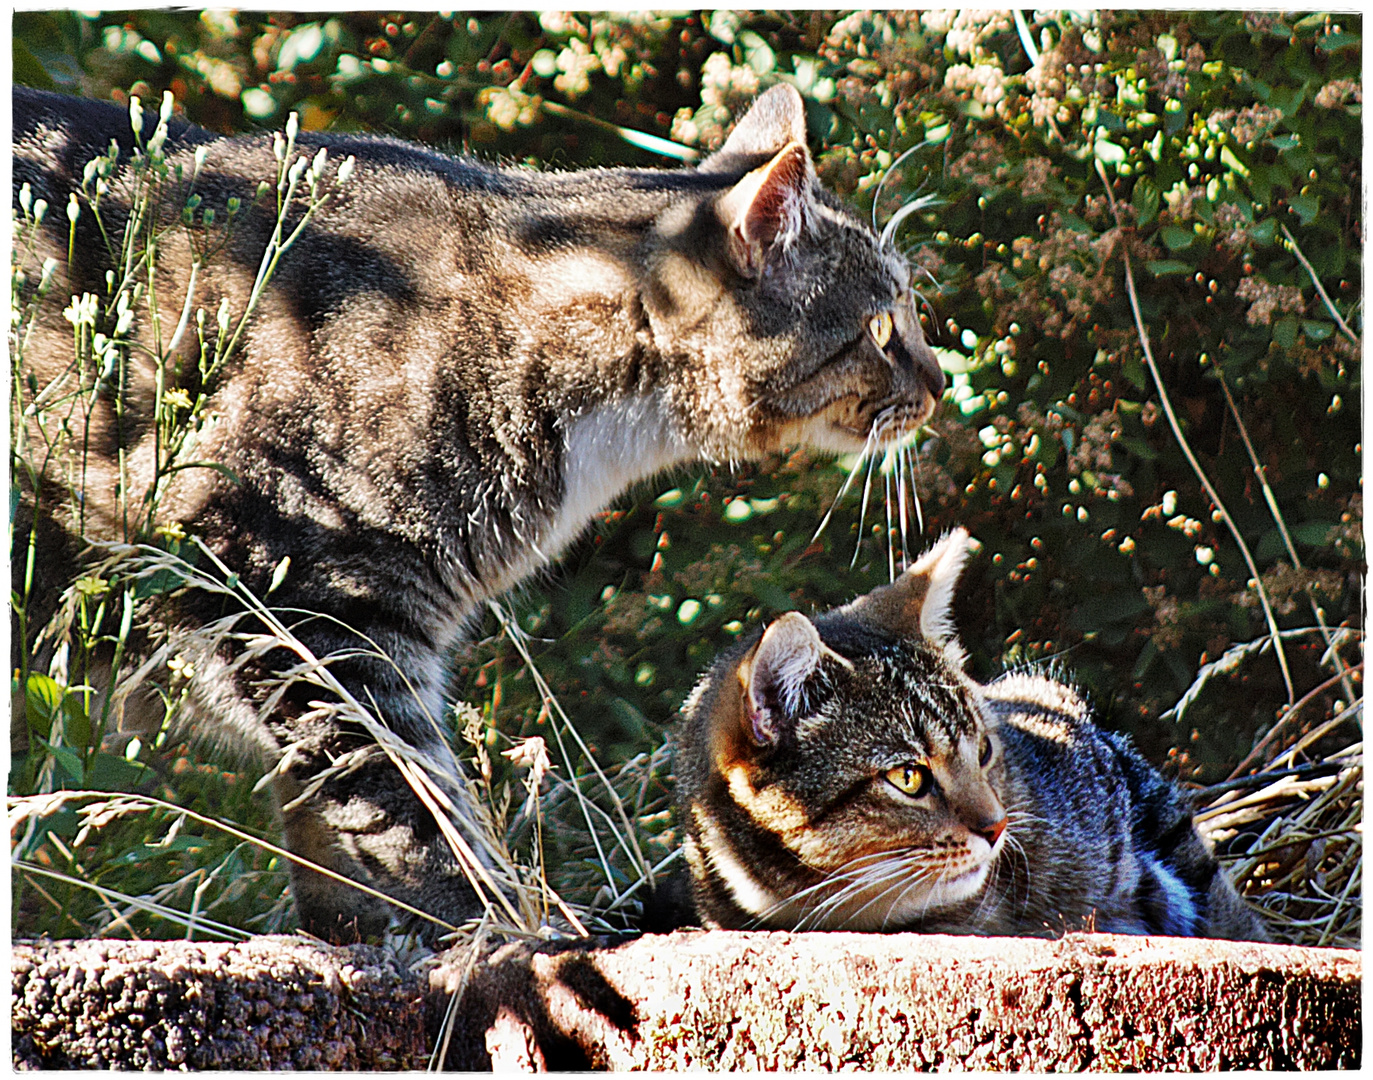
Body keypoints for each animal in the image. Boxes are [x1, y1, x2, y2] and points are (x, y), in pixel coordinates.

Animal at [13, 88, 944, 944]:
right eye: (882, 326)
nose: (939, 386)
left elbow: (331, 825)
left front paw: (362, 930)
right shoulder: (308, 599)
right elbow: (403, 798)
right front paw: (491, 918)